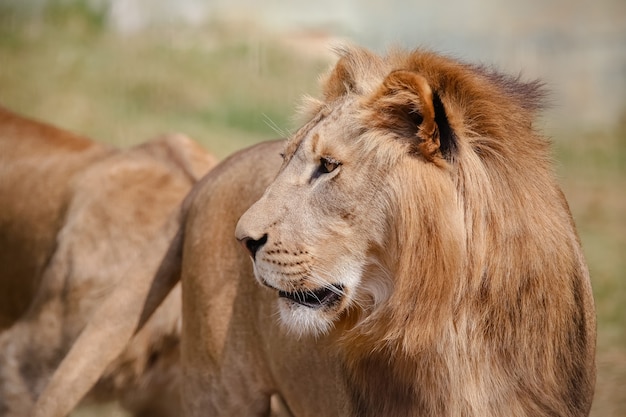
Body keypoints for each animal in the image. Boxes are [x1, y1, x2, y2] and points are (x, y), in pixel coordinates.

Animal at [30, 45, 596, 416]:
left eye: (327, 167)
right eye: (287, 160)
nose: (245, 239)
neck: (458, 321)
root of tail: (219, 168)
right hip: (221, 389)